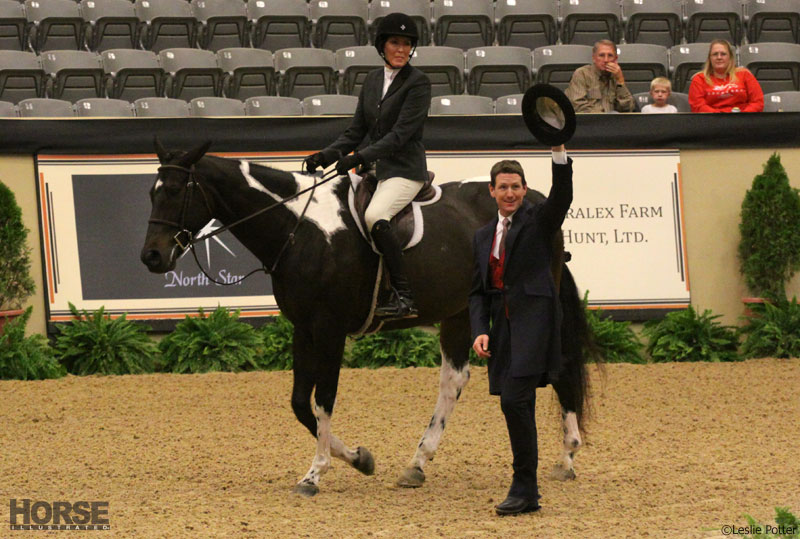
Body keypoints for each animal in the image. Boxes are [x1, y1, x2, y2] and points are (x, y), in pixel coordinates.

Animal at [139, 142, 592, 498]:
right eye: (151, 192)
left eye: (177, 191)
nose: (152, 257)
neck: (299, 227)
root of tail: (535, 199)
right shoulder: (302, 328)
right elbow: (300, 403)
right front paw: (359, 458)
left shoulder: (329, 328)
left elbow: (323, 400)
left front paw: (315, 474)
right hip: (459, 311)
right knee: (453, 380)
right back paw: (417, 463)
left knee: (558, 364)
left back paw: (567, 456)